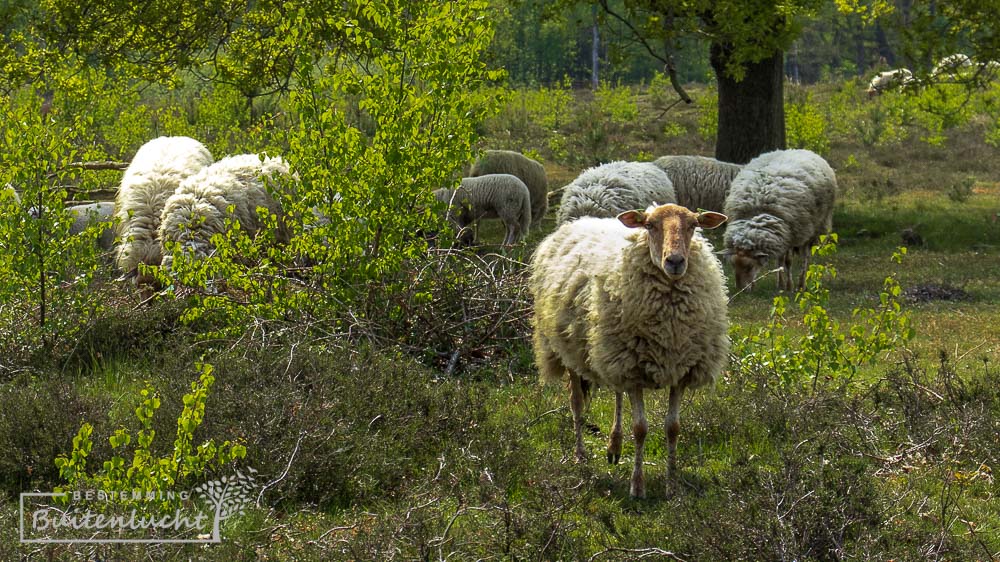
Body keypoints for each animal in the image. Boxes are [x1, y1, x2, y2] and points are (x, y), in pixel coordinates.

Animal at [532, 203, 728, 496]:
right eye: (649, 226)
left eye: (694, 225)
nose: (675, 261)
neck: (669, 328)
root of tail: (574, 223)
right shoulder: (634, 372)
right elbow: (640, 429)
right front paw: (637, 486)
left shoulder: (680, 370)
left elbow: (673, 428)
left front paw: (672, 486)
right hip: (570, 349)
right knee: (576, 403)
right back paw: (580, 455)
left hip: (612, 351)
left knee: (617, 392)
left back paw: (614, 445)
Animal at [724, 147, 840, 290]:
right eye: (733, 265)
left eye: (749, 267)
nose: (741, 289)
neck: (758, 212)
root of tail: (798, 150)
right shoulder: (781, 235)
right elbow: (779, 261)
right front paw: (778, 284)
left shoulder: (792, 234)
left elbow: (788, 261)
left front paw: (789, 286)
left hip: (812, 229)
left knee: (805, 257)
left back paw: (801, 284)